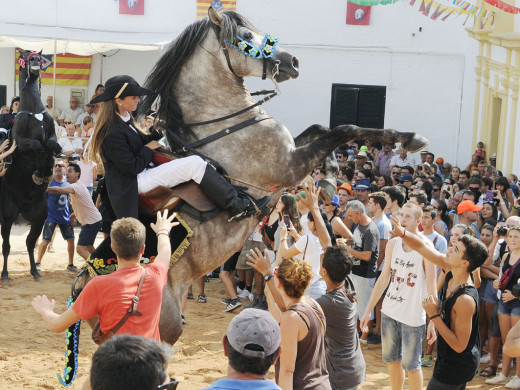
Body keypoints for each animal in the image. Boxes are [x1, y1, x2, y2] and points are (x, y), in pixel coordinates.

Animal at [0, 48, 61, 282]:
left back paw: (35, 271)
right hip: (8, 215)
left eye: (38, 57)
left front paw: (46, 169)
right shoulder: (22, 142)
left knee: (29, 242)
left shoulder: (52, 134)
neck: (34, 111)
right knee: (6, 246)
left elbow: (51, 144)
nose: (34, 60)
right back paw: (5, 274)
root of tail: (23, 207)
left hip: (38, 216)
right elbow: (35, 145)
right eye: (25, 57)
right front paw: (39, 170)